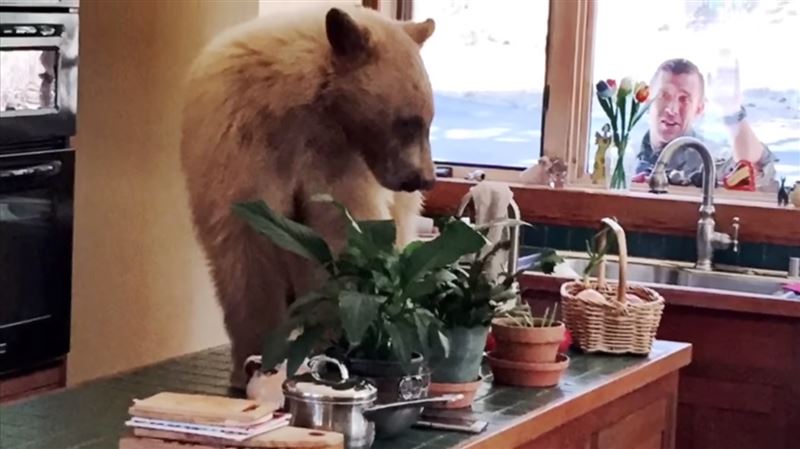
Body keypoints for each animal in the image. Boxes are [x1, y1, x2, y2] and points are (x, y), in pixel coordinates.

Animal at [181, 4, 438, 388]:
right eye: (408, 121)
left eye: (429, 120)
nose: (423, 178)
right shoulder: (244, 148)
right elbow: (248, 253)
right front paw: (253, 359)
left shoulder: (339, 165)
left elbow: (341, 234)